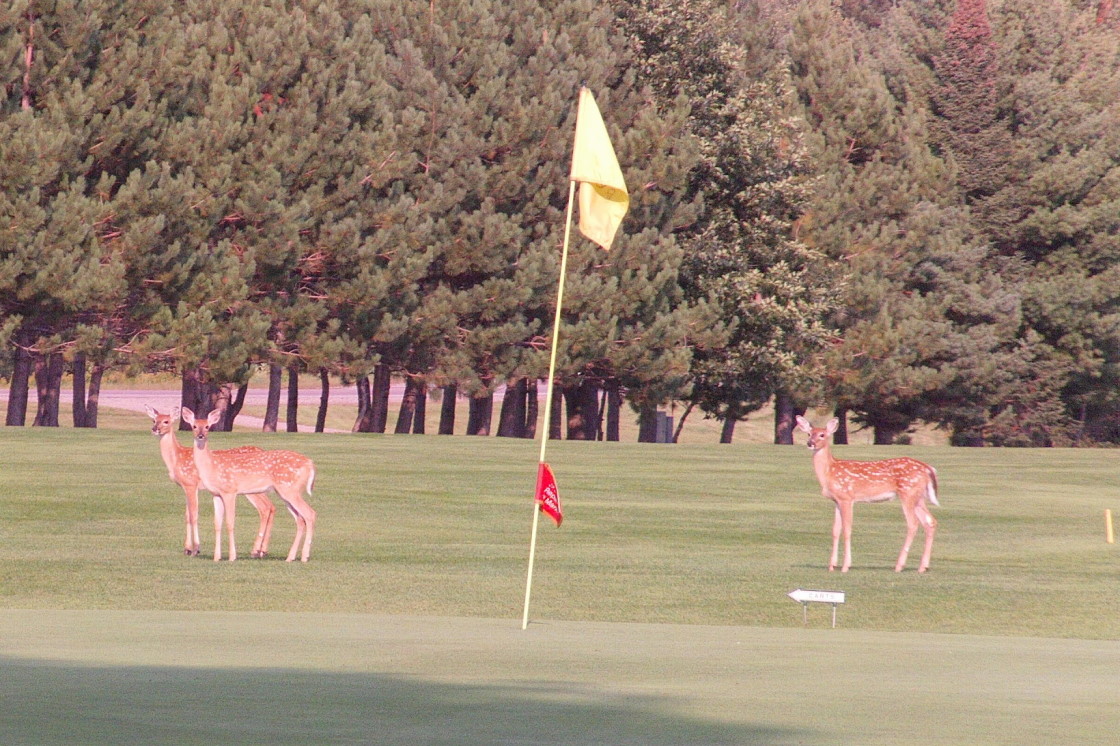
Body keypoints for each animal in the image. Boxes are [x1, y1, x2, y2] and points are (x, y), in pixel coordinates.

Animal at [146, 405, 277, 558]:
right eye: (154, 420)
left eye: (166, 421)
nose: (155, 429)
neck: (176, 459)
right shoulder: (185, 486)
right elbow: (187, 515)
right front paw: (187, 548)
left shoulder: (191, 483)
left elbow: (194, 515)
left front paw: (196, 548)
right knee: (270, 506)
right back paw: (262, 550)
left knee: (265, 508)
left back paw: (257, 551)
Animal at [181, 406, 317, 562]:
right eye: (194, 426)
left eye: (207, 426)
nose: (201, 436)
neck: (211, 466)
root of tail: (310, 464)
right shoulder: (216, 494)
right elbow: (217, 523)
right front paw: (217, 557)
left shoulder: (230, 491)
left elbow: (230, 522)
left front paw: (232, 556)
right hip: (285, 492)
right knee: (300, 519)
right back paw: (290, 557)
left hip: (289, 489)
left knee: (310, 513)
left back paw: (304, 556)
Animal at [795, 416, 939, 573]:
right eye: (809, 434)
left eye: (822, 435)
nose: (810, 443)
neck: (829, 472)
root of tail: (927, 468)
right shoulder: (837, 500)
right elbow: (835, 530)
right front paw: (832, 565)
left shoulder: (847, 497)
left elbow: (847, 529)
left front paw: (845, 566)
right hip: (918, 497)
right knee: (930, 521)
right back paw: (923, 567)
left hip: (908, 492)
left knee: (913, 523)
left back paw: (899, 565)